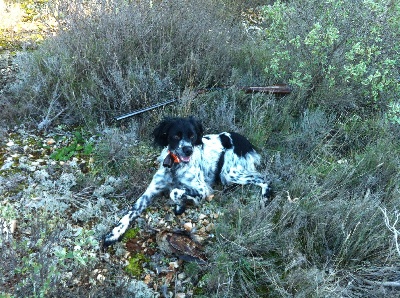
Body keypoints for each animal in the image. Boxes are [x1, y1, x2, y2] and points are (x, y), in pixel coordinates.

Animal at [104, 117, 272, 247]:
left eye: (192, 136)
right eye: (176, 136)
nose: (188, 150)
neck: (175, 166)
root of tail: (246, 141)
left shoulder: (202, 188)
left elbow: (175, 192)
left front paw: (182, 204)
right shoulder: (150, 191)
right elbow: (131, 211)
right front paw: (114, 233)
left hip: (230, 172)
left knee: (265, 178)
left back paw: (264, 200)